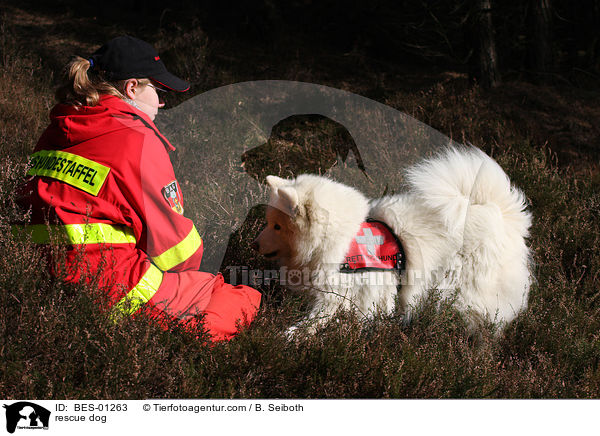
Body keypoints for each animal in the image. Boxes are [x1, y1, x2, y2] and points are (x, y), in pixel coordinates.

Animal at [252, 146, 528, 330]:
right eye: (269, 223)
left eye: (277, 226)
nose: (253, 244)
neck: (340, 242)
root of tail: (497, 212)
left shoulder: (339, 295)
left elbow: (313, 322)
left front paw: (291, 336)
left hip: (466, 292)